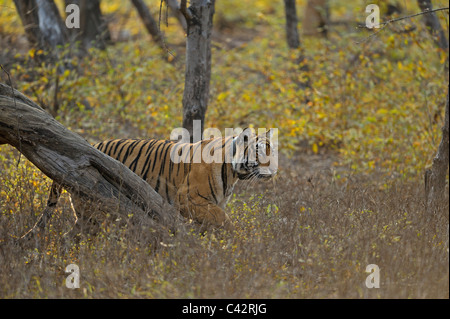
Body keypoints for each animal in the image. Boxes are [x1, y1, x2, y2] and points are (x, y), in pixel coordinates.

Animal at [39, 127, 278, 235]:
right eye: (260, 151)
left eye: (272, 150)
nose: (274, 169)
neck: (233, 173)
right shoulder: (189, 198)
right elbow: (223, 219)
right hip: (94, 207)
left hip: (86, 214)